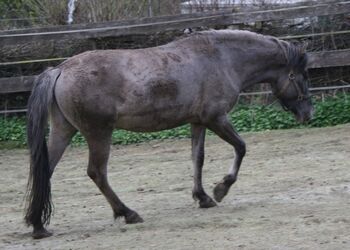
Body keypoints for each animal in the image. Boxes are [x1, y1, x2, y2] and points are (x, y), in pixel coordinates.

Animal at [25, 29, 314, 238]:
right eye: (302, 76)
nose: (308, 113)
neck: (222, 59)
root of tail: (60, 69)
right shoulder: (216, 119)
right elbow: (241, 147)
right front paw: (221, 188)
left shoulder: (198, 122)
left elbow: (197, 158)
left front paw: (203, 197)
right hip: (98, 133)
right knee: (97, 173)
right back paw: (128, 213)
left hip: (64, 131)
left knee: (46, 170)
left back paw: (38, 225)